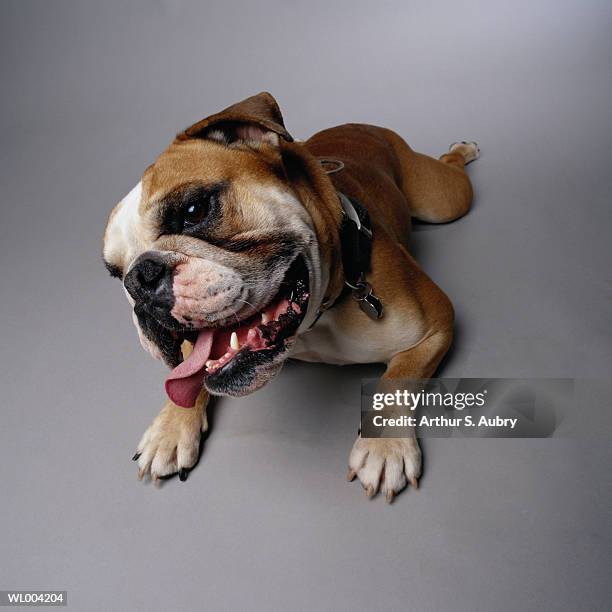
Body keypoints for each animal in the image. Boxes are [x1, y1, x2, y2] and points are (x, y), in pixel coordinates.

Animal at [103, 92, 480, 502]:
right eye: (114, 272)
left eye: (194, 210)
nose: (139, 281)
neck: (316, 321)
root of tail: (362, 124)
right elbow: (188, 374)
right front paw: (170, 430)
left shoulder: (437, 326)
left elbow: (398, 379)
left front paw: (385, 446)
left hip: (443, 200)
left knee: (451, 174)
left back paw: (461, 150)